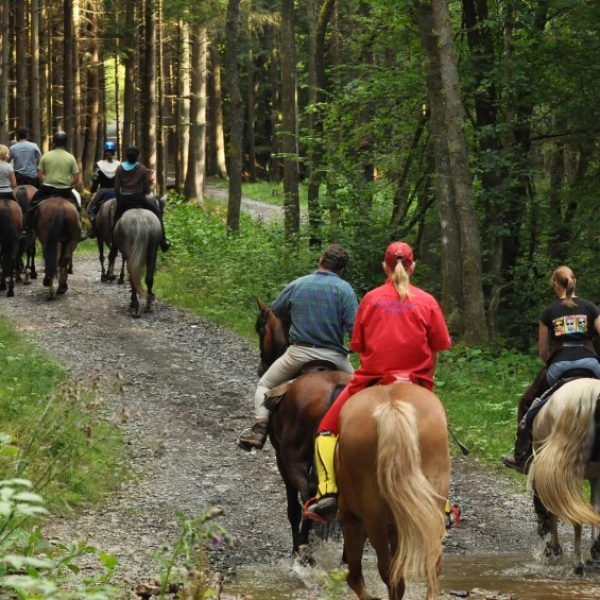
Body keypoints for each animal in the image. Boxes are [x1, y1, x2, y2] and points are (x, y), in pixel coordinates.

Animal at [254, 300, 352, 564]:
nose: (261, 368)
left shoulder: (282, 459)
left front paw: (299, 546)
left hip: (293, 458)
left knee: (309, 494)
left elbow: (293, 507)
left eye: (260, 329)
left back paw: (304, 549)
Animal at [338, 382, 450, 600]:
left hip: (373, 519)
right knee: (431, 565)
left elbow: (354, 576)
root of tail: (392, 406)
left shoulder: (352, 521)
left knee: (388, 573)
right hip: (431, 511)